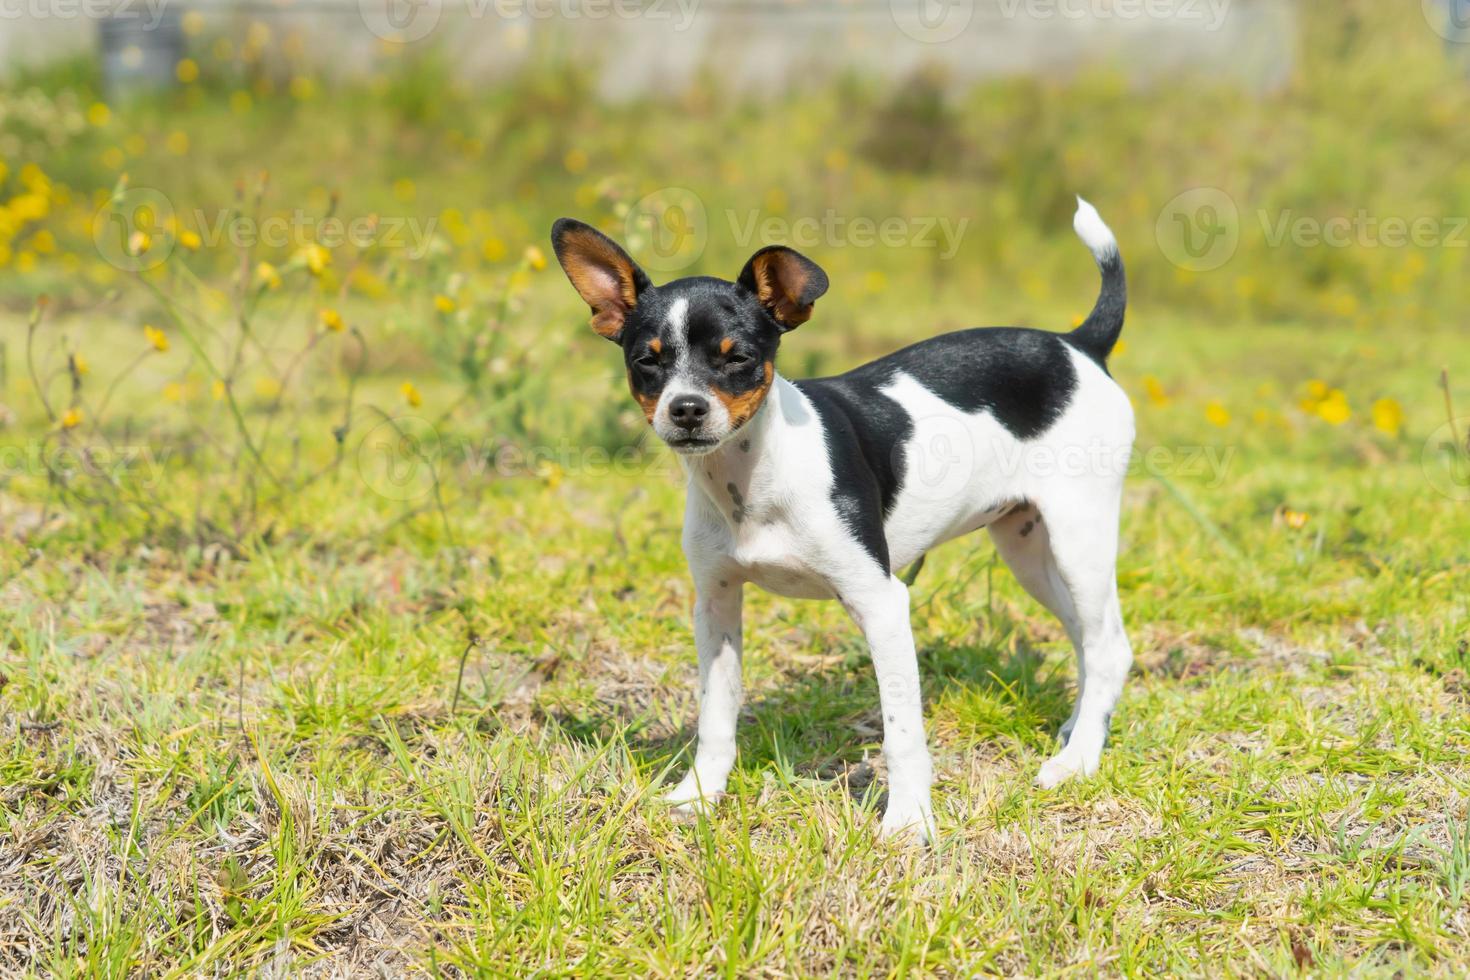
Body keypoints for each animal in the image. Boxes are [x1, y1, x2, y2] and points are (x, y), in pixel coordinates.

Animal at [552, 199, 1134, 846]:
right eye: (646, 362)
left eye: (739, 359)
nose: (686, 409)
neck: (755, 477)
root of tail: (1079, 345)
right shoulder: (716, 604)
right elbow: (716, 715)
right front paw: (699, 796)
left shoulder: (881, 603)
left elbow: (901, 731)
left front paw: (908, 822)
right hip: (1027, 549)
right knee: (1092, 642)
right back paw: (1079, 732)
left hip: (1078, 535)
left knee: (1108, 645)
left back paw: (1076, 762)